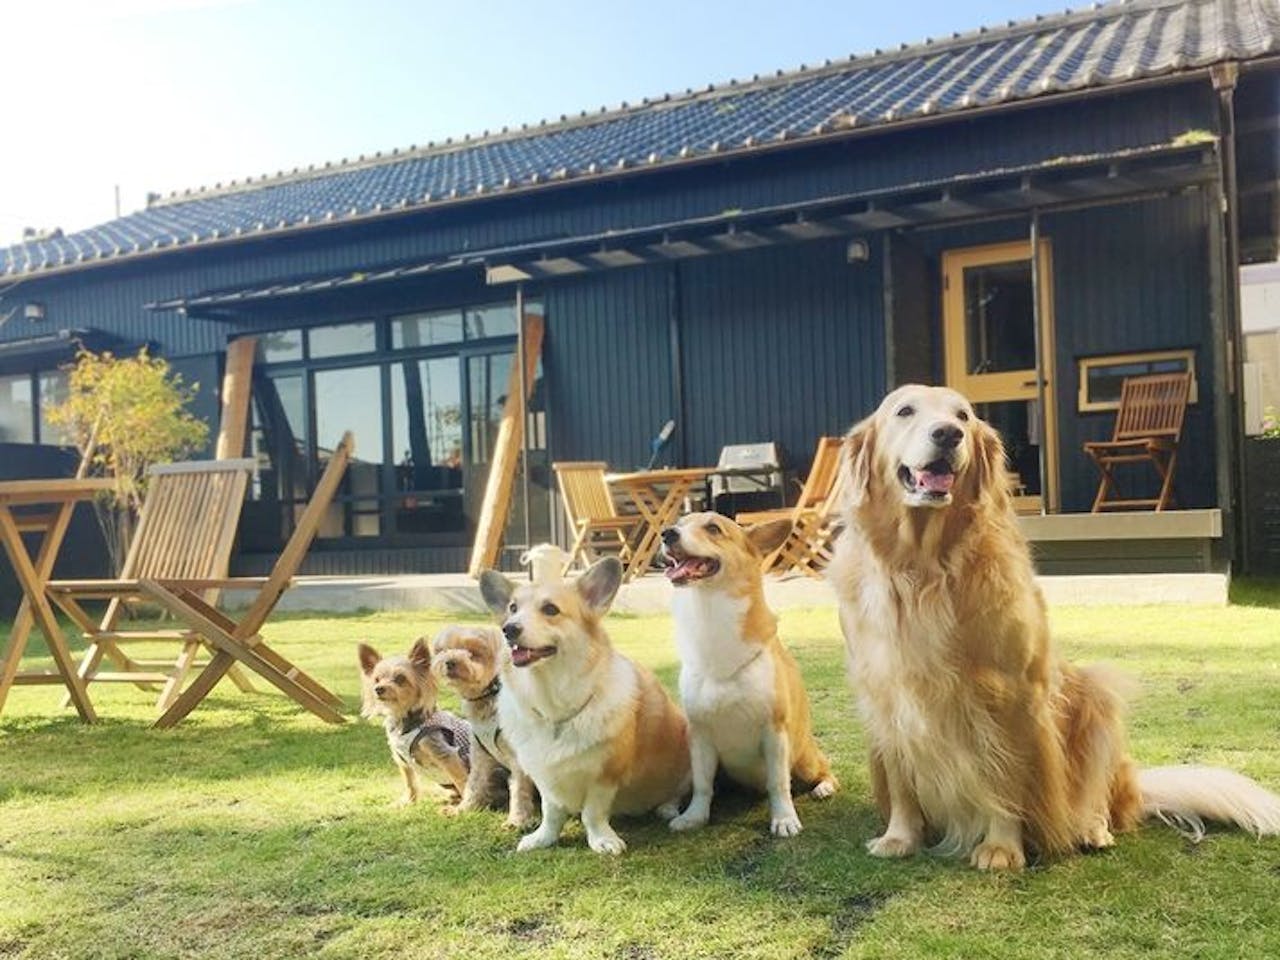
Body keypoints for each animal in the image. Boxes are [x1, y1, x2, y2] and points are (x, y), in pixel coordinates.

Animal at [358, 642, 473, 808]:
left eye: (400, 678)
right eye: (376, 679)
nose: (378, 689)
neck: (405, 720)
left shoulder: (446, 754)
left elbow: (461, 780)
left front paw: (466, 807)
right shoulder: (402, 761)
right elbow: (410, 782)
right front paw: (407, 802)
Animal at [430, 627, 540, 829]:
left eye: (473, 652)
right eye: (444, 649)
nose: (450, 662)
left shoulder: (518, 758)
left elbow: (519, 789)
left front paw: (516, 820)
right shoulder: (480, 754)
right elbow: (474, 784)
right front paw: (464, 809)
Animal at [478, 555, 691, 855]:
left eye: (550, 609)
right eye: (512, 609)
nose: (508, 629)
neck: (553, 704)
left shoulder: (605, 776)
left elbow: (593, 813)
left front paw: (602, 840)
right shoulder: (545, 777)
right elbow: (551, 813)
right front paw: (542, 838)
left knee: (677, 791)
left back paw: (667, 808)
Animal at [660, 514, 839, 839]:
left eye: (713, 528)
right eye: (680, 522)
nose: (667, 533)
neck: (709, 612)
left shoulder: (774, 732)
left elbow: (778, 783)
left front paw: (784, 819)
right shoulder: (699, 735)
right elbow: (702, 785)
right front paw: (694, 816)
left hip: (805, 759)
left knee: (821, 771)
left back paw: (824, 787)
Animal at [829, 386, 1280, 870]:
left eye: (963, 416)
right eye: (905, 411)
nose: (948, 434)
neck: (923, 567)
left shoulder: (1012, 692)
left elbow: (1005, 777)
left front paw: (1002, 847)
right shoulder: (885, 692)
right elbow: (901, 781)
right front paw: (900, 836)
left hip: (1096, 698)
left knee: (1099, 798)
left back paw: (1091, 828)